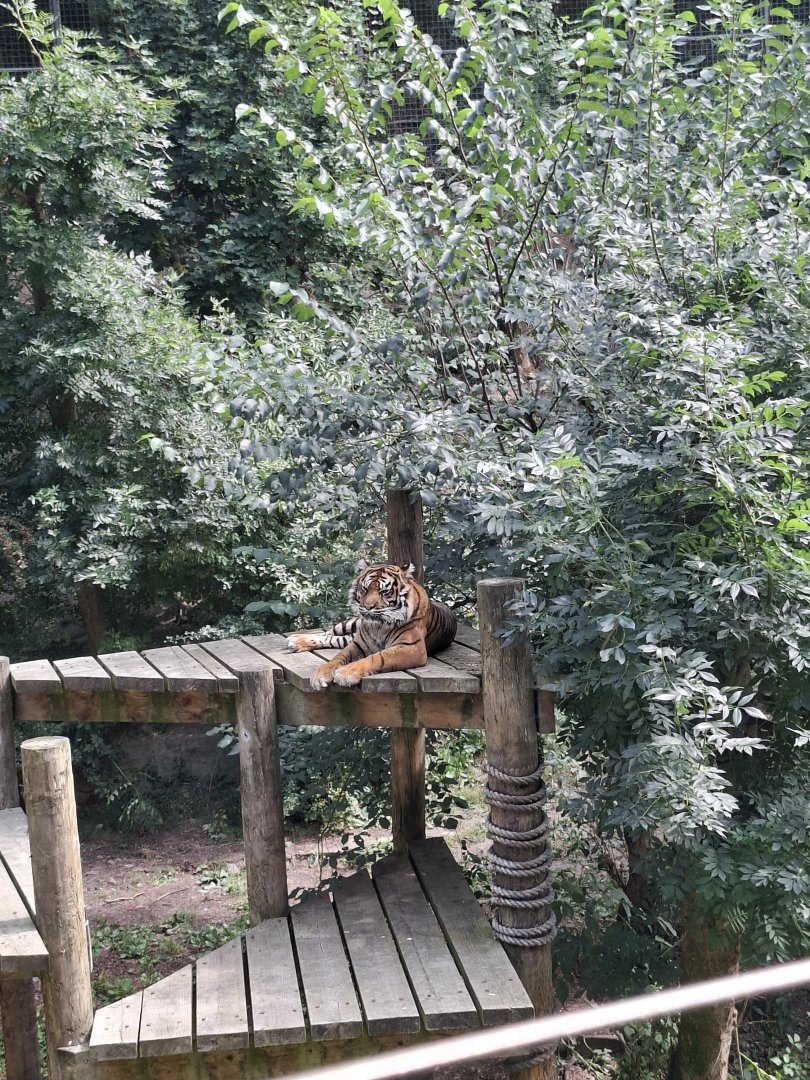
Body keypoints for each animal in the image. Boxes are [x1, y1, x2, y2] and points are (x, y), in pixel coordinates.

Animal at [287, 558, 457, 690]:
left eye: (384, 592)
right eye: (365, 589)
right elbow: (337, 657)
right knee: (329, 633)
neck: (379, 626)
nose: (368, 606)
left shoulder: (412, 648)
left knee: (335, 639)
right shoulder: (359, 643)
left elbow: (376, 658)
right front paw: (320, 674)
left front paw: (345, 673)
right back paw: (296, 640)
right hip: (352, 624)